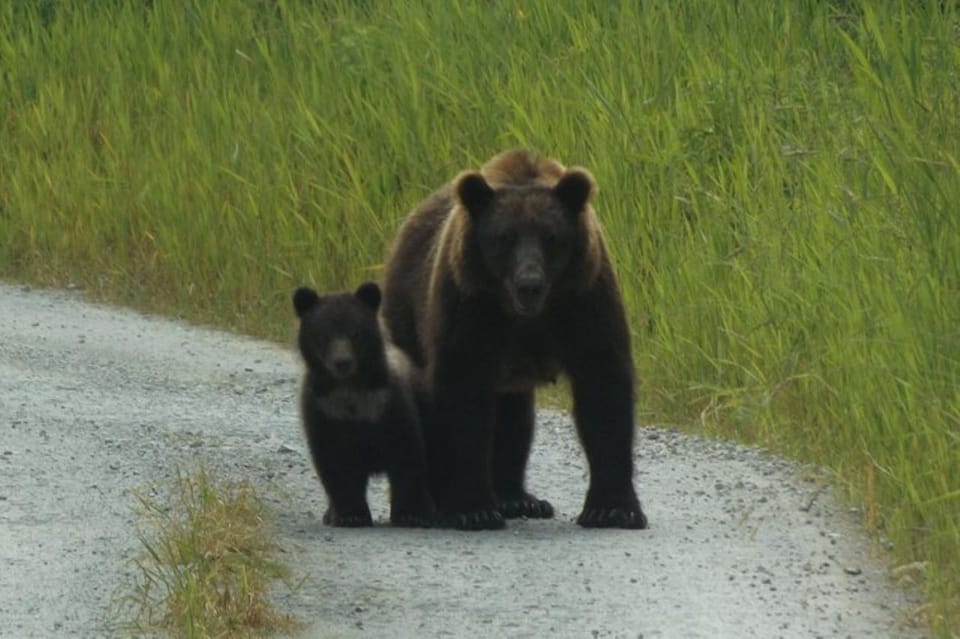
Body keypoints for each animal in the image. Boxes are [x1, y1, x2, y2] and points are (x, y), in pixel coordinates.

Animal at [380, 149, 644, 528]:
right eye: (504, 238)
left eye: (551, 236)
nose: (528, 284)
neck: (525, 316)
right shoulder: (470, 305)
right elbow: (463, 398)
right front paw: (471, 508)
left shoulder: (584, 300)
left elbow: (603, 390)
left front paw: (612, 508)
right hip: (408, 318)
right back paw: (427, 501)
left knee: (514, 419)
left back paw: (519, 498)